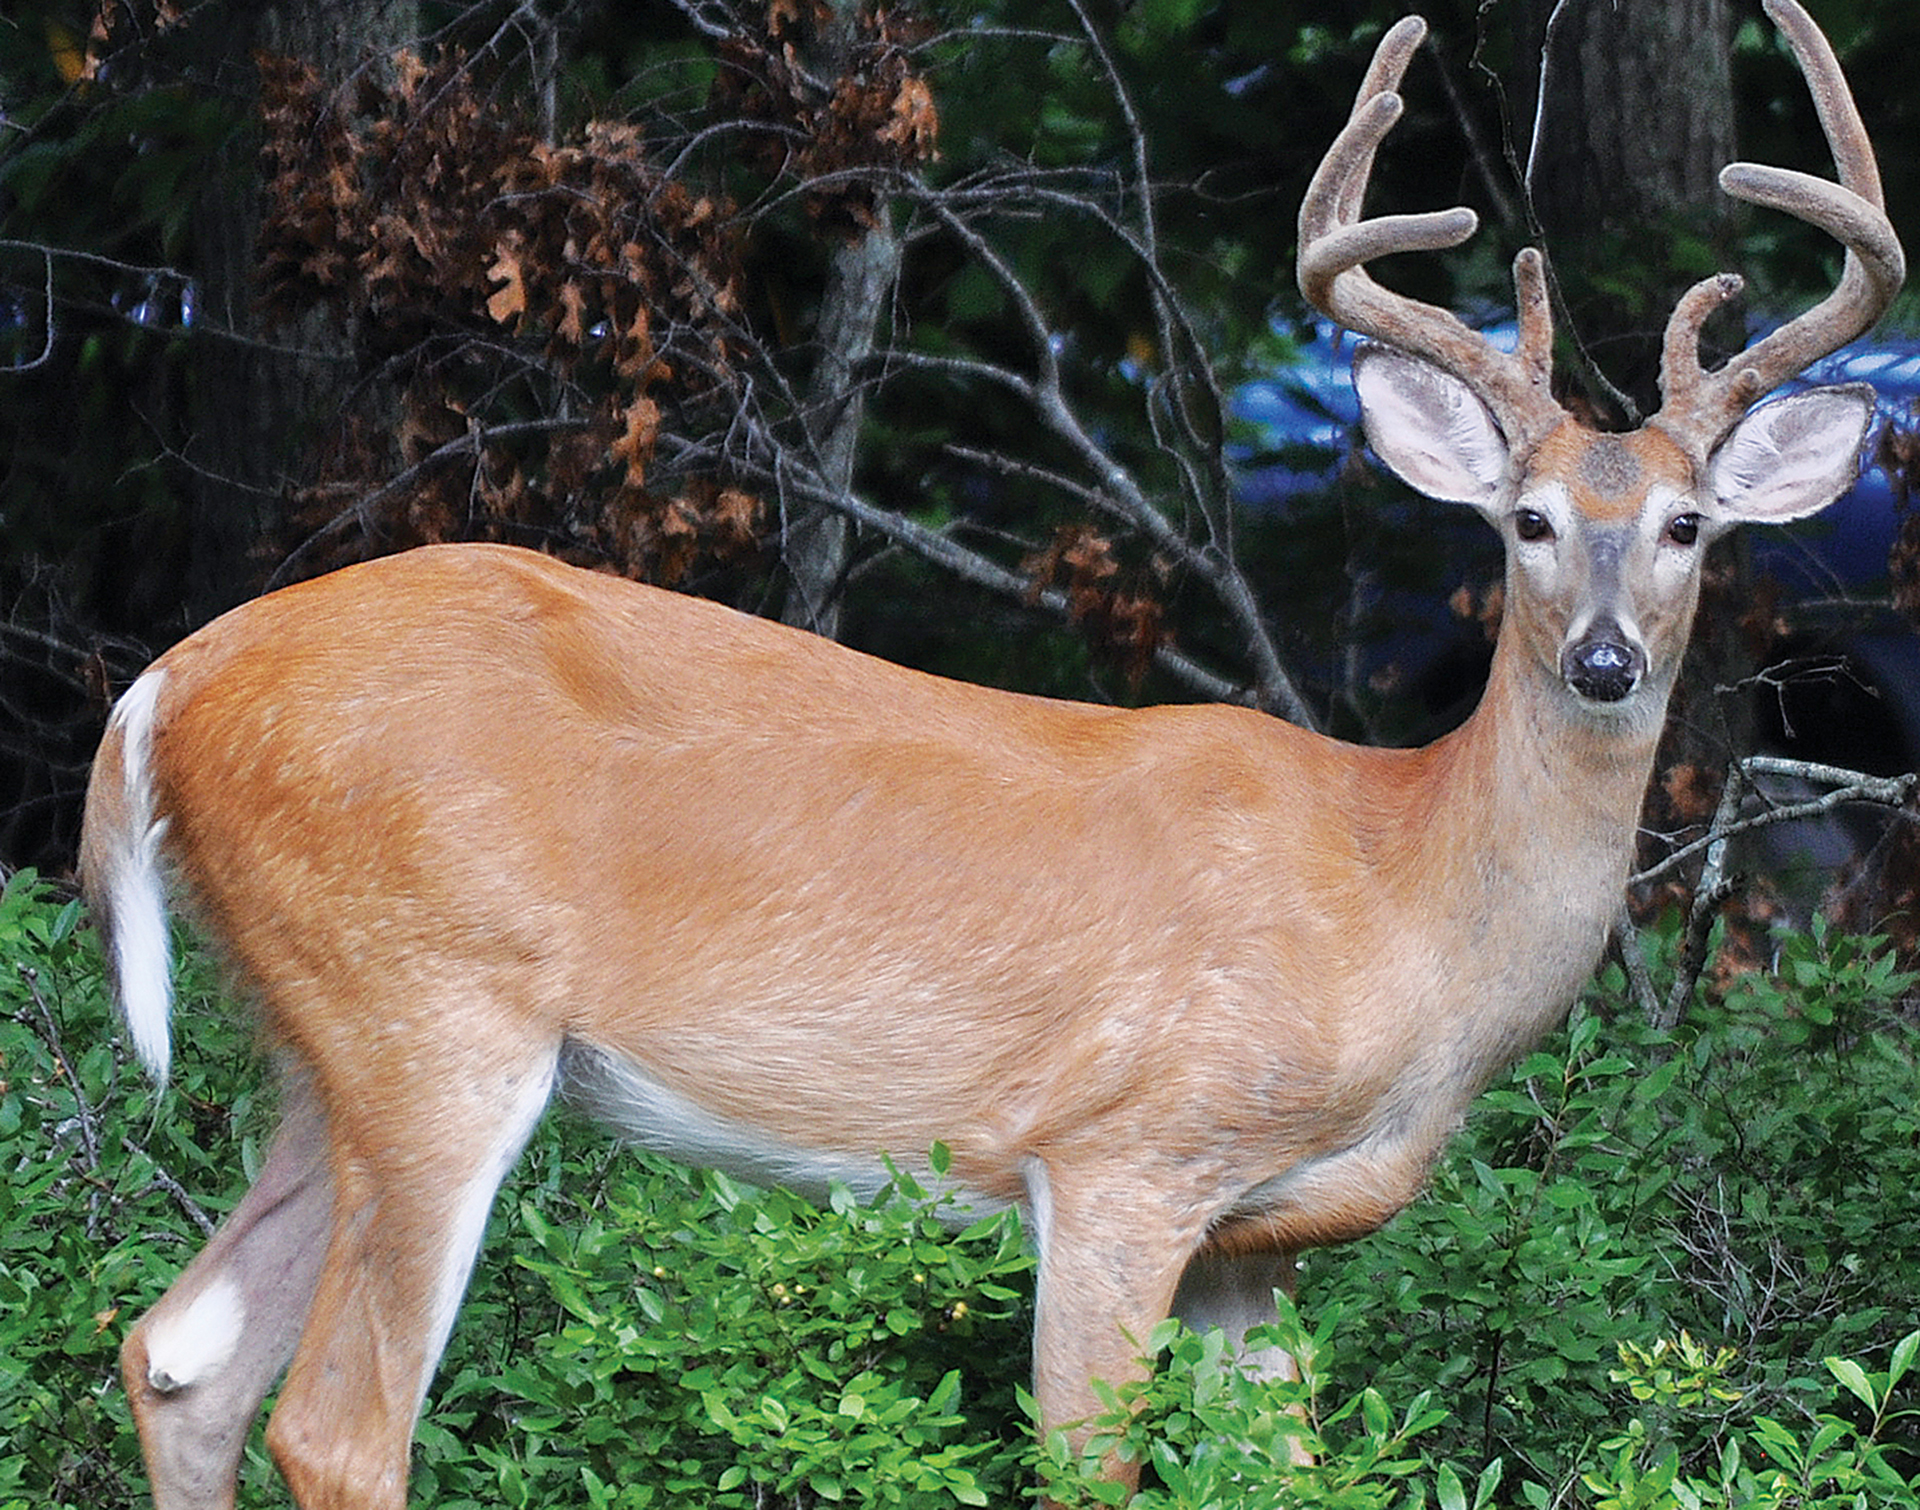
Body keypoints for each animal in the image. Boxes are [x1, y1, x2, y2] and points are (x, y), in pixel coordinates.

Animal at [82, 5, 1896, 1498]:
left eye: (1685, 526)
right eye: (1525, 522)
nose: (1603, 659)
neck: (1405, 894)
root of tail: (166, 682)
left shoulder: (1257, 1245)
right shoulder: (1124, 1153)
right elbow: (1088, 1464)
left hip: (326, 1036)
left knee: (179, 1357)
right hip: (433, 1002)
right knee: (337, 1422)